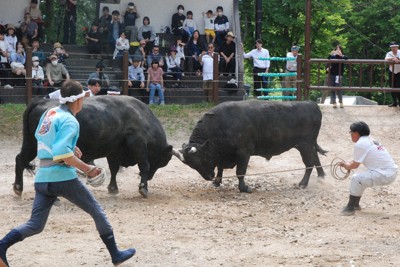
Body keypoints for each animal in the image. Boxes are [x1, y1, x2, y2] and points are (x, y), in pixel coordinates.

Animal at [13, 95, 173, 198]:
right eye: (162, 161)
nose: (151, 177)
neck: (142, 117)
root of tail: (40, 101)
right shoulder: (138, 144)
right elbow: (144, 165)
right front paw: (143, 188)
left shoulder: (114, 151)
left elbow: (114, 169)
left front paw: (113, 188)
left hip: (30, 144)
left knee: (20, 159)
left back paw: (18, 187)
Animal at [172, 100, 324, 193]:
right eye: (193, 166)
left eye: (202, 159)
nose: (209, 176)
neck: (220, 125)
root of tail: (311, 104)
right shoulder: (221, 153)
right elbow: (220, 167)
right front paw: (217, 182)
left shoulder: (244, 153)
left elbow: (240, 172)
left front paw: (244, 188)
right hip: (309, 145)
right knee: (315, 158)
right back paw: (321, 176)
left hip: (305, 145)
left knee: (309, 163)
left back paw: (303, 183)